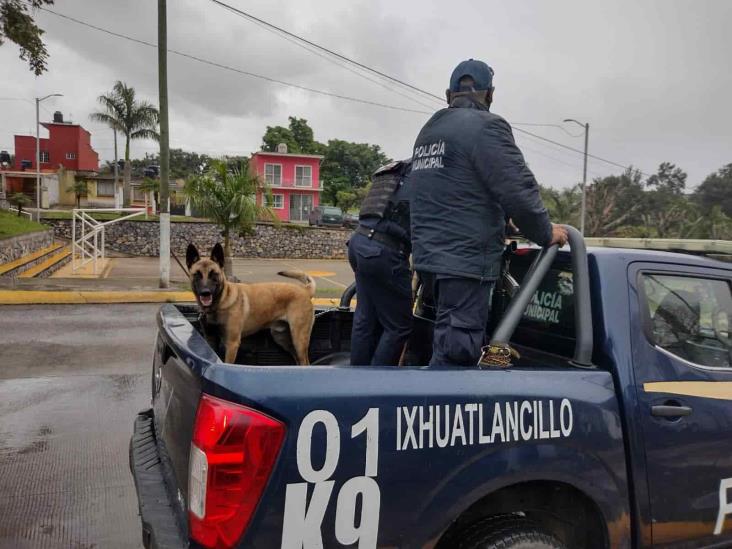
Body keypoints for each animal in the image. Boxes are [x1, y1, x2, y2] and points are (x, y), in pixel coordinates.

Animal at [186, 243, 314, 364]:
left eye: (214, 274)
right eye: (197, 274)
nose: (205, 292)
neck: (221, 302)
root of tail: (305, 289)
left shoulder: (232, 344)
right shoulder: (211, 341)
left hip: (299, 339)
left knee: (305, 362)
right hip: (282, 338)